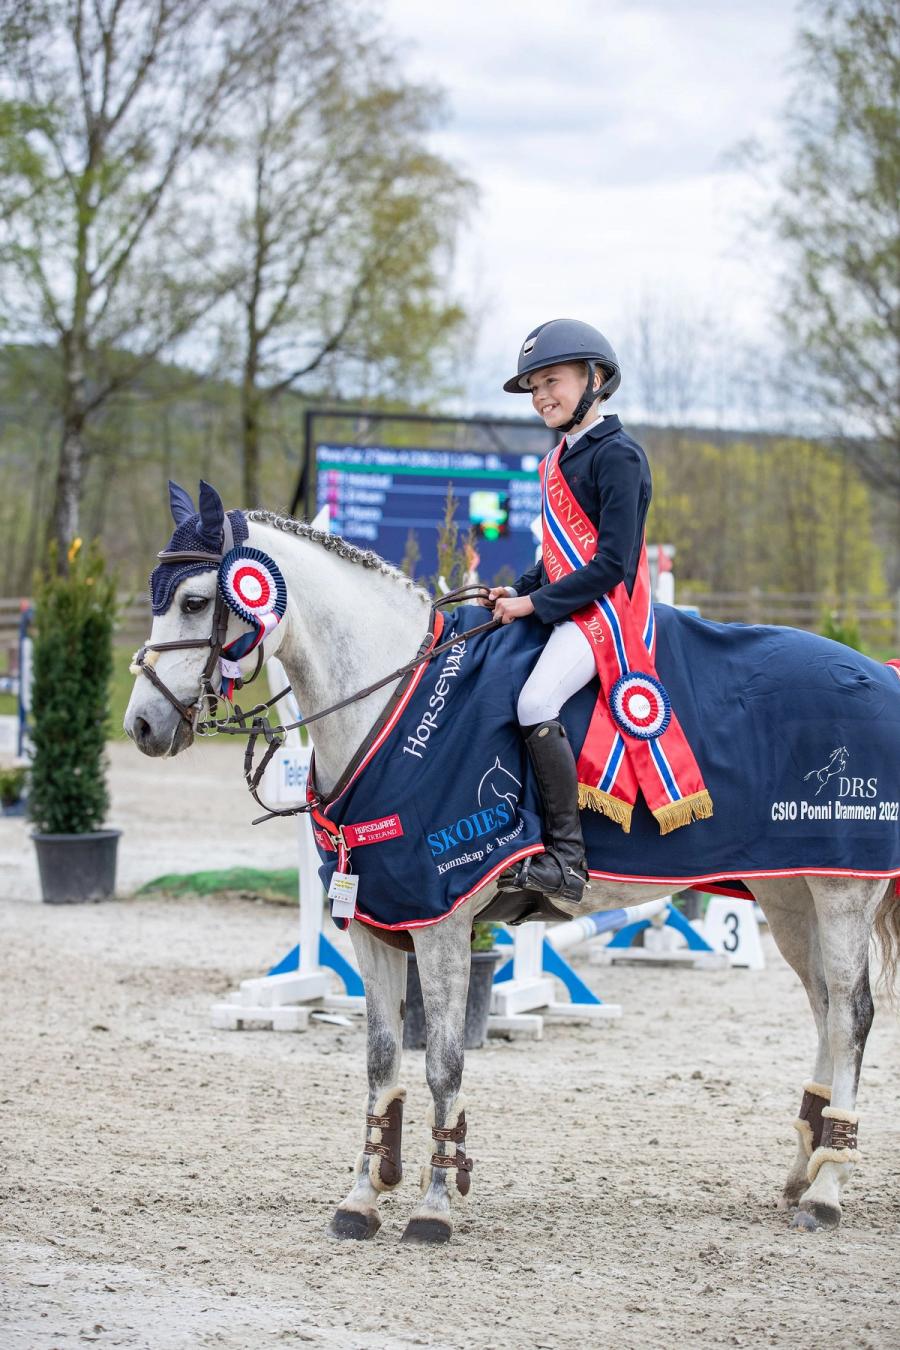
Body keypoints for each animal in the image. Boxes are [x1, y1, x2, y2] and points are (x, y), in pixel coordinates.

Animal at [124, 483, 900, 1243]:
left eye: (194, 600)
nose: (142, 725)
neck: (396, 703)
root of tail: (882, 677)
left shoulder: (440, 921)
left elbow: (442, 1063)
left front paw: (435, 1203)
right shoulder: (375, 921)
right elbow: (379, 1062)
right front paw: (363, 1197)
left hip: (842, 891)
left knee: (851, 1015)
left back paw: (828, 1188)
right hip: (789, 896)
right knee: (824, 1009)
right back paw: (803, 1170)